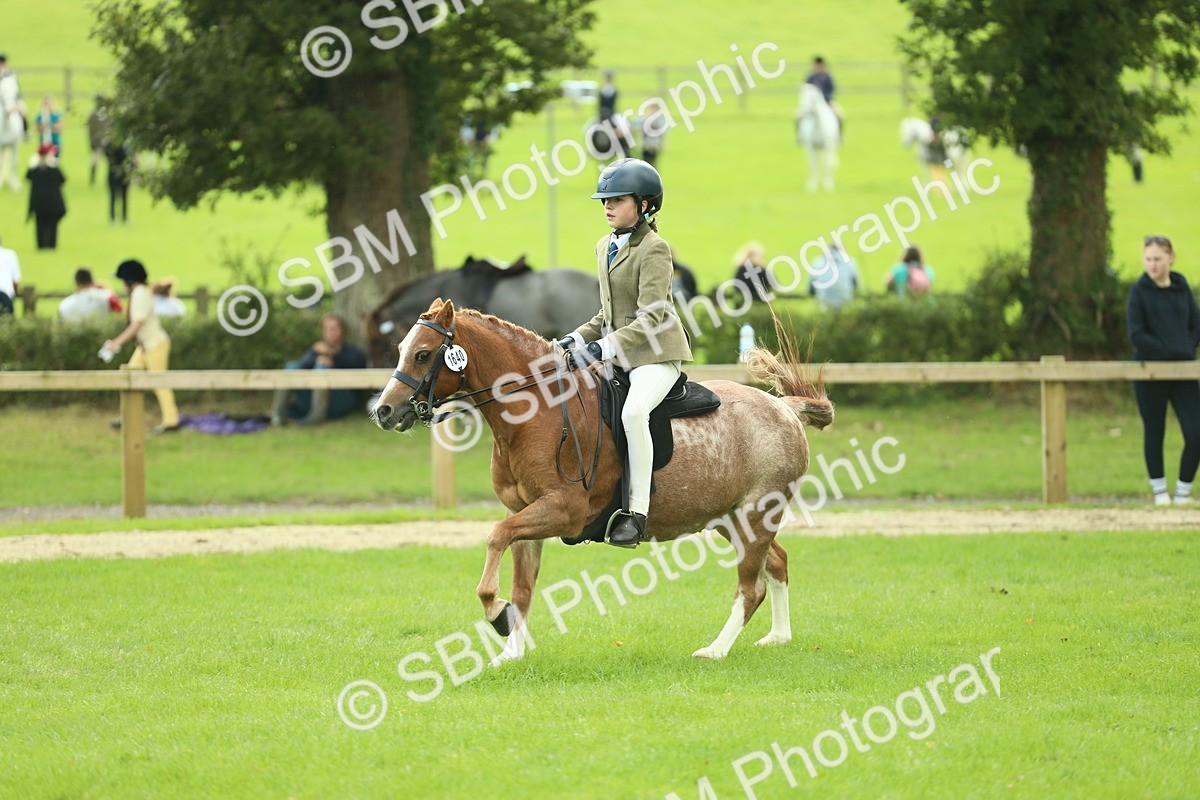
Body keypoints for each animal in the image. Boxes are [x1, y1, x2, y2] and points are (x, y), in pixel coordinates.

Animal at [371, 298, 834, 662]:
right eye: (402, 349)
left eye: (423, 355)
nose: (384, 412)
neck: (536, 411)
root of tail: (785, 409)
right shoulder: (525, 512)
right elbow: (521, 587)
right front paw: (510, 651)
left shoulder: (563, 510)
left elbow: (495, 539)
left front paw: (495, 614)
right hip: (731, 519)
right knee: (777, 562)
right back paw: (778, 637)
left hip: (756, 513)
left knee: (750, 587)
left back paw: (715, 650)